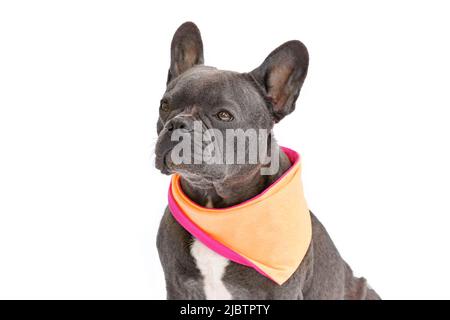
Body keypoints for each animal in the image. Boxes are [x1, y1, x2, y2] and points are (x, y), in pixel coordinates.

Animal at [155, 22, 380, 300]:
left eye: (224, 115)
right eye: (164, 106)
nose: (178, 124)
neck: (214, 205)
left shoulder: (282, 292)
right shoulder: (178, 286)